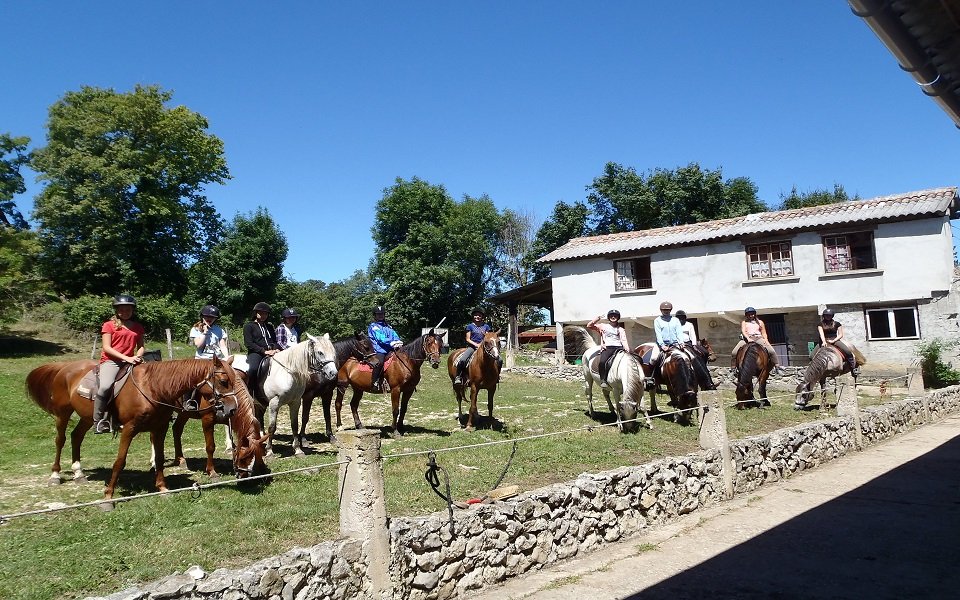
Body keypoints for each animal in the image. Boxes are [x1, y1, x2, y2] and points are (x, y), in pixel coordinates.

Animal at [25, 354, 238, 508]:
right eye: (223, 381)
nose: (232, 408)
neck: (153, 387)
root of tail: (65, 367)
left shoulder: (159, 427)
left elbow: (159, 458)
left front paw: (163, 489)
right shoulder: (129, 429)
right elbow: (120, 462)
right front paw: (108, 496)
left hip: (87, 418)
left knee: (76, 436)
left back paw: (79, 473)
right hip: (62, 413)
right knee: (60, 440)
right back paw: (55, 476)